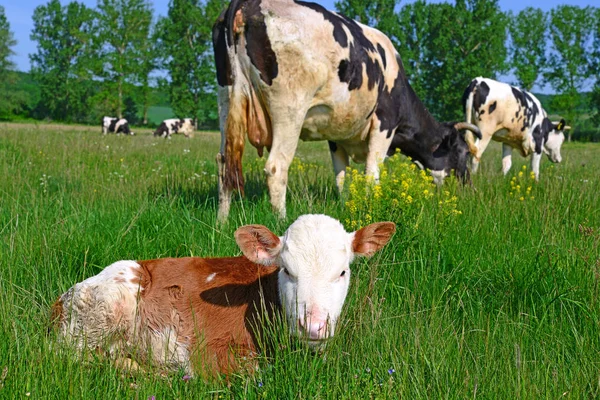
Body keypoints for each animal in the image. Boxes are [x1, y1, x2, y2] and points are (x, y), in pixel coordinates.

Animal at [49, 214, 396, 376]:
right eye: (287, 270)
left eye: (343, 272)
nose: (312, 325)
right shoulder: (207, 351)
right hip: (103, 311)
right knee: (78, 357)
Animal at [212, 0, 482, 220]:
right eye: (462, 151)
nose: (469, 189)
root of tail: (246, 4)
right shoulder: (385, 124)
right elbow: (372, 174)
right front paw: (372, 209)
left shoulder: (336, 135)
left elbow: (341, 175)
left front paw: (343, 206)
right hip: (289, 109)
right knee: (277, 167)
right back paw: (281, 223)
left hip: (226, 98)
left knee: (224, 163)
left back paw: (221, 223)